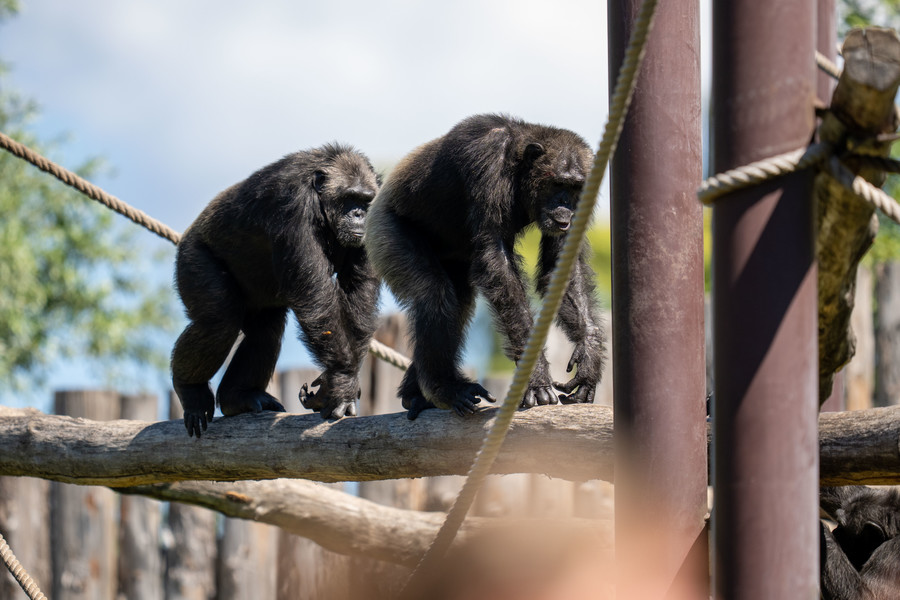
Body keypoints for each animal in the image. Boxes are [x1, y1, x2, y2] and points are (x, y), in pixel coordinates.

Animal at [171, 144, 380, 436]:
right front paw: (341, 382)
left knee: (265, 333)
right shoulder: (292, 208)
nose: (360, 214)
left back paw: (239, 397)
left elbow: (359, 293)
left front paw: (338, 383)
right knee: (218, 323)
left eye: (366, 200)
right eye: (350, 198)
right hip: (193, 259)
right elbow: (316, 300)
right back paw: (191, 390)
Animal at [364, 115, 604, 420]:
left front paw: (589, 356)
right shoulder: (487, 164)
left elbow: (562, 270)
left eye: (575, 187)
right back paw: (444, 388)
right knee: (434, 294)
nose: (566, 206)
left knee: (458, 304)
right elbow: (496, 263)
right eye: (557, 183)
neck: (517, 164)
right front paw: (535, 376)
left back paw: (415, 394)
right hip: (385, 233)